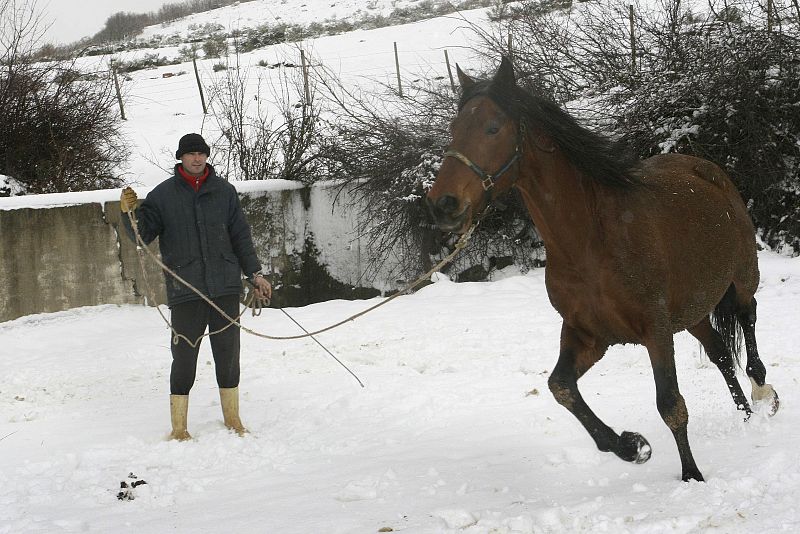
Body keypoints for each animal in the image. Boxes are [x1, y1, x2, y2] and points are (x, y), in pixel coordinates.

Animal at [425, 56, 779, 482]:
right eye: (453, 129)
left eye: (493, 128)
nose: (443, 204)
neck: (592, 242)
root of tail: (705, 168)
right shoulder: (588, 335)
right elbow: (561, 387)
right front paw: (630, 446)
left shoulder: (655, 330)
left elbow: (670, 404)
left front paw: (692, 475)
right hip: (691, 311)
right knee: (721, 354)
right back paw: (745, 415)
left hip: (741, 279)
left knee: (748, 318)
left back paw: (763, 393)